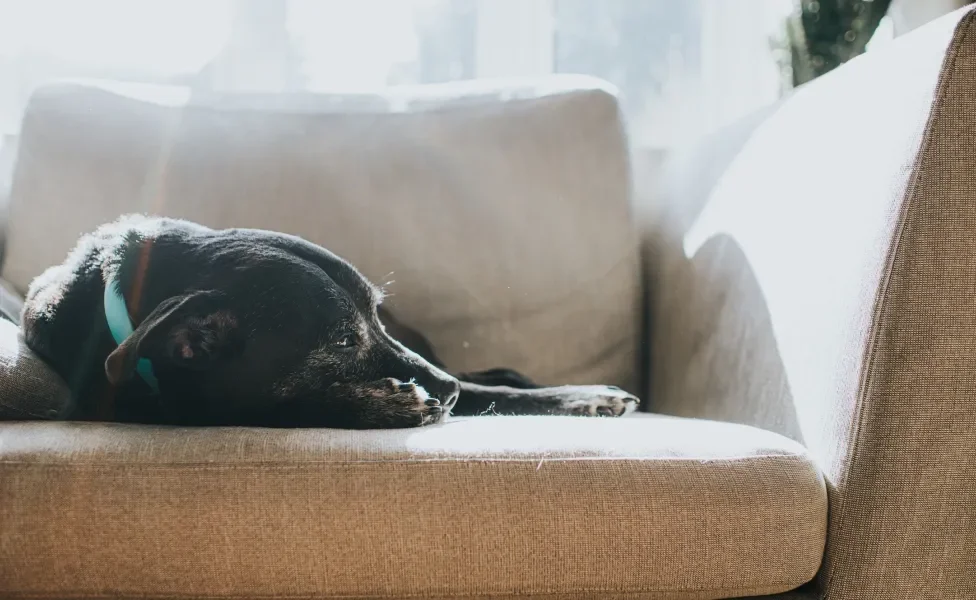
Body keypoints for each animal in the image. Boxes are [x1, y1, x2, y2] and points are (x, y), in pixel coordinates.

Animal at [21, 216, 640, 426]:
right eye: (344, 340)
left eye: (375, 316)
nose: (445, 393)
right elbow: (282, 408)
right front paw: (388, 404)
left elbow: (494, 392)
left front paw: (585, 396)